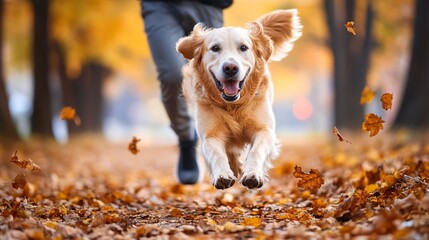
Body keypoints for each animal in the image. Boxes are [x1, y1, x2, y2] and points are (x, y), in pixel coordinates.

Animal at [176, 9, 300, 189]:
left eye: (243, 47)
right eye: (215, 48)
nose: (230, 68)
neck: (233, 105)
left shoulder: (264, 130)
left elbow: (256, 151)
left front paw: (252, 174)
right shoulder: (210, 135)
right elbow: (218, 154)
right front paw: (223, 175)